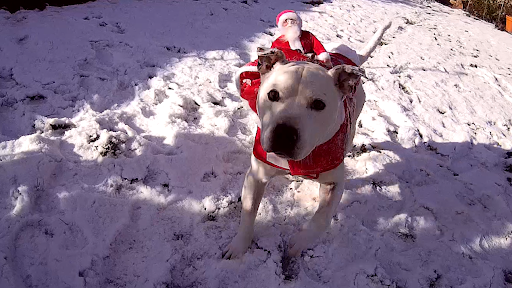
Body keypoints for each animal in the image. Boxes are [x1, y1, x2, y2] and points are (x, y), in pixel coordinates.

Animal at [224, 20, 392, 258]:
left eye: (319, 104)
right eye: (272, 94)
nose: (284, 133)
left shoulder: (334, 183)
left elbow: (321, 220)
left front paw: (298, 244)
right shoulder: (256, 175)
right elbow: (248, 213)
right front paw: (238, 246)